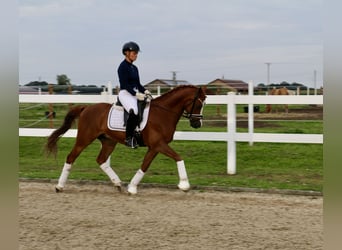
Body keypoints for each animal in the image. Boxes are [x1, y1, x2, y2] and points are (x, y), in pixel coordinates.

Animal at [45, 85, 206, 194]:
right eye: (199, 104)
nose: (197, 124)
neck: (163, 113)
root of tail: (86, 108)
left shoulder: (154, 147)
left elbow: (144, 166)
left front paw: (132, 187)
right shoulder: (159, 144)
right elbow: (179, 157)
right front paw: (184, 185)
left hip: (109, 141)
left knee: (101, 160)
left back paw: (117, 183)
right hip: (85, 138)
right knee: (71, 157)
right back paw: (59, 186)